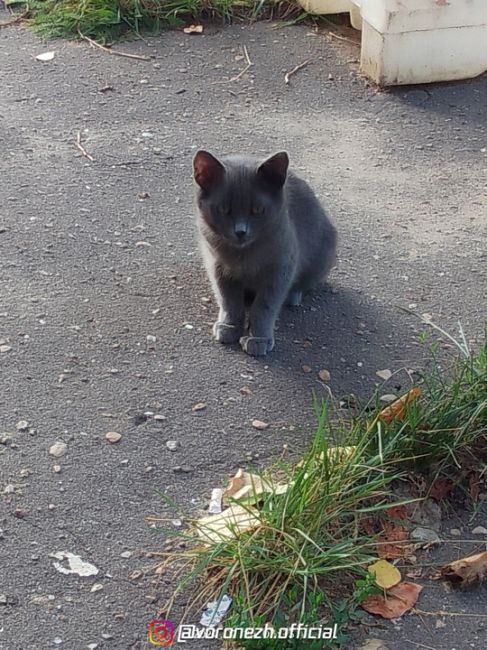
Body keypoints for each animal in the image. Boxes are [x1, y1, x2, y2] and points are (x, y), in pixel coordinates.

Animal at [193, 150, 338, 356]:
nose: (240, 231)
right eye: (223, 209)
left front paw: (258, 339)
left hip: (322, 256)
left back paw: (293, 296)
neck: (243, 255)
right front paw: (229, 327)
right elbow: (228, 299)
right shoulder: (218, 266)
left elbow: (264, 306)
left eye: (258, 210)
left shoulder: (280, 267)